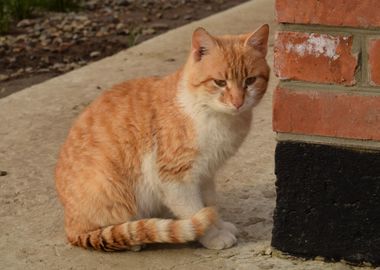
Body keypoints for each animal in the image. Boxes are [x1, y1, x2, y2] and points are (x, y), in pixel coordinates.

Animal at [55, 24, 270, 252]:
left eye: (250, 80)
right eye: (220, 82)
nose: (238, 103)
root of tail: (70, 228)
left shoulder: (206, 174)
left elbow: (211, 203)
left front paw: (220, 224)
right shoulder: (175, 179)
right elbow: (196, 212)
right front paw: (213, 235)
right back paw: (135, 240)